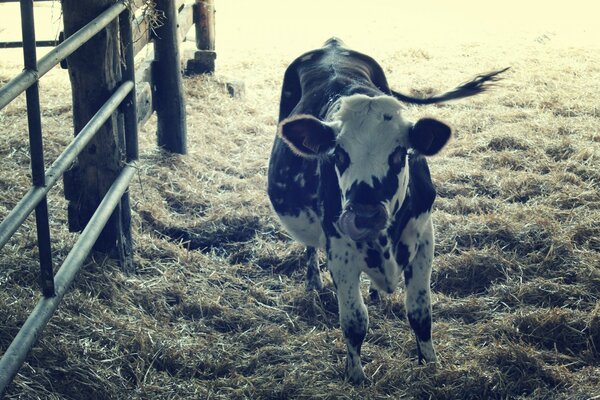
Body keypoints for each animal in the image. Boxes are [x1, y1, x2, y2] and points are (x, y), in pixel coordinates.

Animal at [268, 38, 506, 384]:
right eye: (339, 155)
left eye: (399, 154)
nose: (364, 215)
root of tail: (333, 44)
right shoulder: (339, 250)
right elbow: (354, 322)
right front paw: (356, 377)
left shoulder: (424, 239)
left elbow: (420, 314)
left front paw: (431, 365)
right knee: (310, 245)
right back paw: (314, 280)